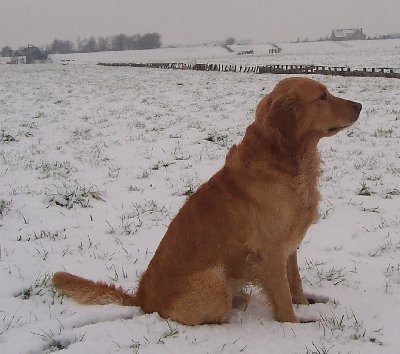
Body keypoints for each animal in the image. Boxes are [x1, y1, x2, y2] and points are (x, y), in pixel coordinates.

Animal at [51, 76, 360, 324]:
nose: (359, 105)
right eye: (323, 96)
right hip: (214, 283)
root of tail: (141, 298)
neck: (287, 162)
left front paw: (306, 304)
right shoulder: (269, 251)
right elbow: (283, 298)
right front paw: (295, 328)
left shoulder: (289, 247)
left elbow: (294, 282)